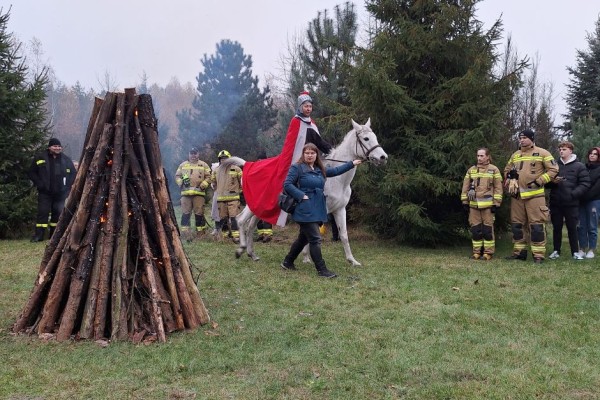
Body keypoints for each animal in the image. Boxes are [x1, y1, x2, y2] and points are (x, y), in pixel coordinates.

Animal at [223, 118, 386, 266]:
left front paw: (352, 260)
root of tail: (247, 165)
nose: (383, 157)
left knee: (250, 226)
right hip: (255, 205)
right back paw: (241, 249)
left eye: (375, 137)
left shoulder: (340, 209)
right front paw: (307, 257)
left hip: (261, 207)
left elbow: (344, 235)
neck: (337, 180)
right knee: (241, 220)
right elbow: (311, 233)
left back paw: (252, 254)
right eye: (366, 138)